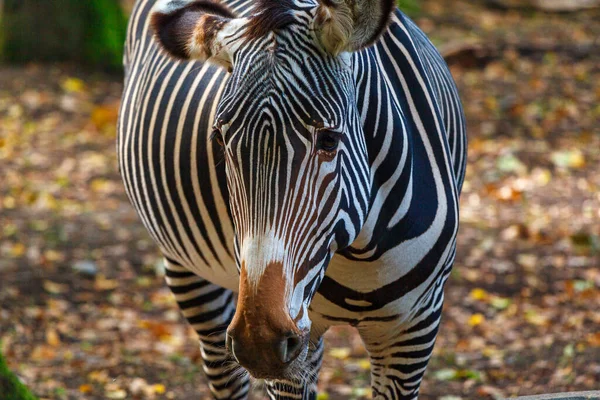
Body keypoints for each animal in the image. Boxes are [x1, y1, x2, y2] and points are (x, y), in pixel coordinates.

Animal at [116, 0, 464, 398]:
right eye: (219, 140)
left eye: (328, 139)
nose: (258, 342)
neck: (362, 253)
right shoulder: (294, 346)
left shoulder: (414, 327)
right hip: (187, 270)